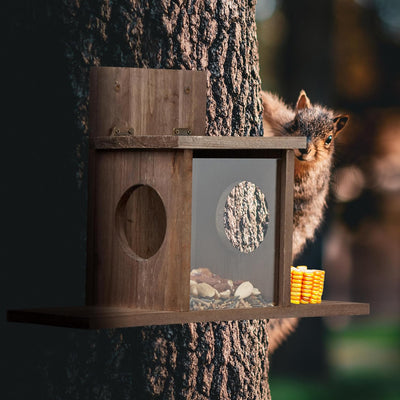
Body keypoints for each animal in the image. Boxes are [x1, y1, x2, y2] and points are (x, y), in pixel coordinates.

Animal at [260, 89, 348, 352]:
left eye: (329, 139)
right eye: (296, 123)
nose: (305, 149)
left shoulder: (308, 183)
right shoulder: (280, 120)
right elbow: (271, 106)